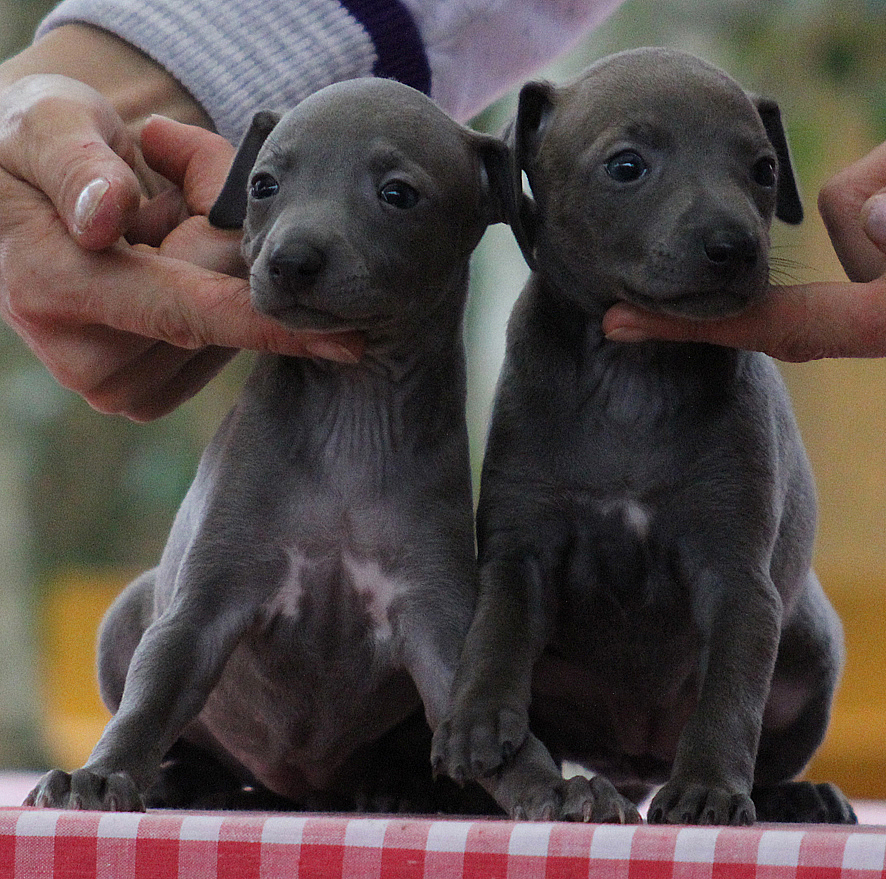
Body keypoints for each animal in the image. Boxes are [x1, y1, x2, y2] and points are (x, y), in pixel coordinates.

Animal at [24, 79, 510, 816]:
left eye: (397, 193)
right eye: (263, 184)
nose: (291, 261)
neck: (351, 410)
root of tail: (300, 791)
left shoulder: (430, 610)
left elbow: (467, 695)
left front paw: (553, 788)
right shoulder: (208, 597)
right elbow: (153, 694)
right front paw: (101, 775)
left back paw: (401, 788)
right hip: (127, 614)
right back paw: (182, 781)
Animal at [436, 49, 860, 824]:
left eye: (762, 169)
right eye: (627, 166)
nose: (735, 247)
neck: (634, 375)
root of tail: (635, 760)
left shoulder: (739, 579)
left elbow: (730, 695)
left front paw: (707, 789)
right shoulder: (521, 548)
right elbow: (496, 635)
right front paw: (475, 720)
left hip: (814, 652)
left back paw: (797, 796)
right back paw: (574, 790)